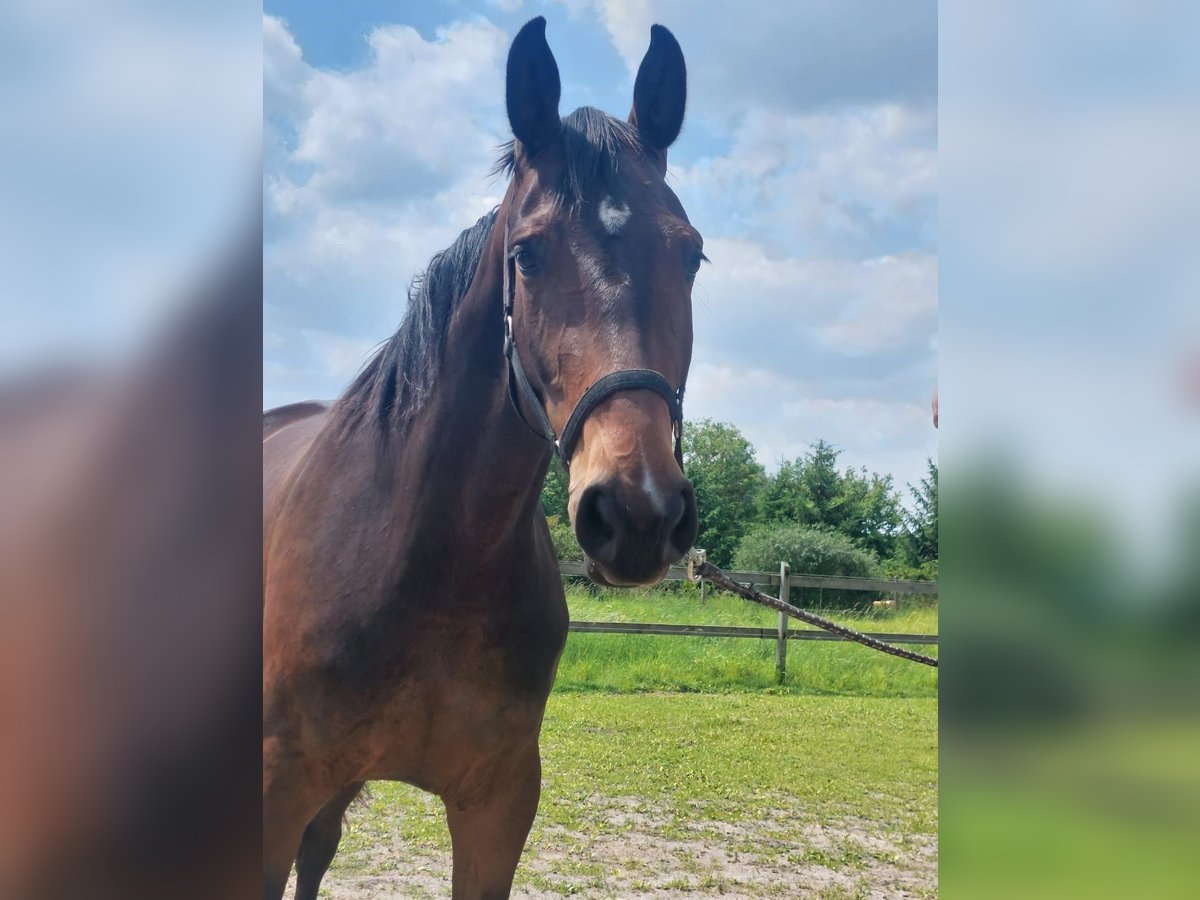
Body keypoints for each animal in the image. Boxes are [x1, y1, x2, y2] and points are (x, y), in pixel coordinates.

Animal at [258, 15, 700, 900]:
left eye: (692, 255)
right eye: (527, 254)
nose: (637, 510)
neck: (427, 561)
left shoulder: (498, 804)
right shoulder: (270, 790)